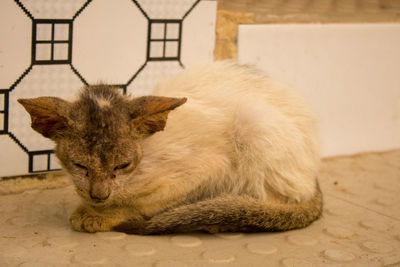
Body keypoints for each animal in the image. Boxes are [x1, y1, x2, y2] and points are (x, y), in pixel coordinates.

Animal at [18, 61, 322, 234]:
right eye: (80, 165)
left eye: (122, 165)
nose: (99, 194)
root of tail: (312, 174)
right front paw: (90, 206)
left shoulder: (208, 169)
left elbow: (144, 204)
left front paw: (104, 215)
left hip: (254, 125)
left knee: (271, 199)